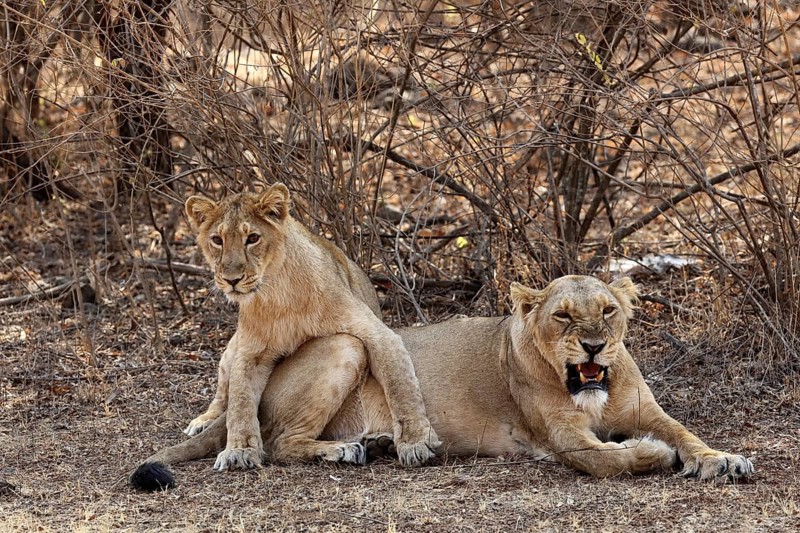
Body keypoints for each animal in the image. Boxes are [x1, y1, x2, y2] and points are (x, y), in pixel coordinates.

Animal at [131, 275, 753, 490]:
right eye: (562, 317)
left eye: (608, 311)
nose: (596, 346)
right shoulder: (560, 438)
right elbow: (611, 460)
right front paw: (653, 455)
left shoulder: (648, 410)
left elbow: (688, 434)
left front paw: (723, 460)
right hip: (345, 343)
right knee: (281, 442)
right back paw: (349, 450)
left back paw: (376, 442)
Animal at [178, 184, 440, 471]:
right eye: (217, 240)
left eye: (253, 238)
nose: (231, 279)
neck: (276, 292)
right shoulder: (250, 353)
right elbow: (240, 401)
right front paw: (239, 450)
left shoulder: (377, 333)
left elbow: (400, 385)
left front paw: (415, 442)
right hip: (234, 346)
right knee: (227, 400)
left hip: (346, 342)